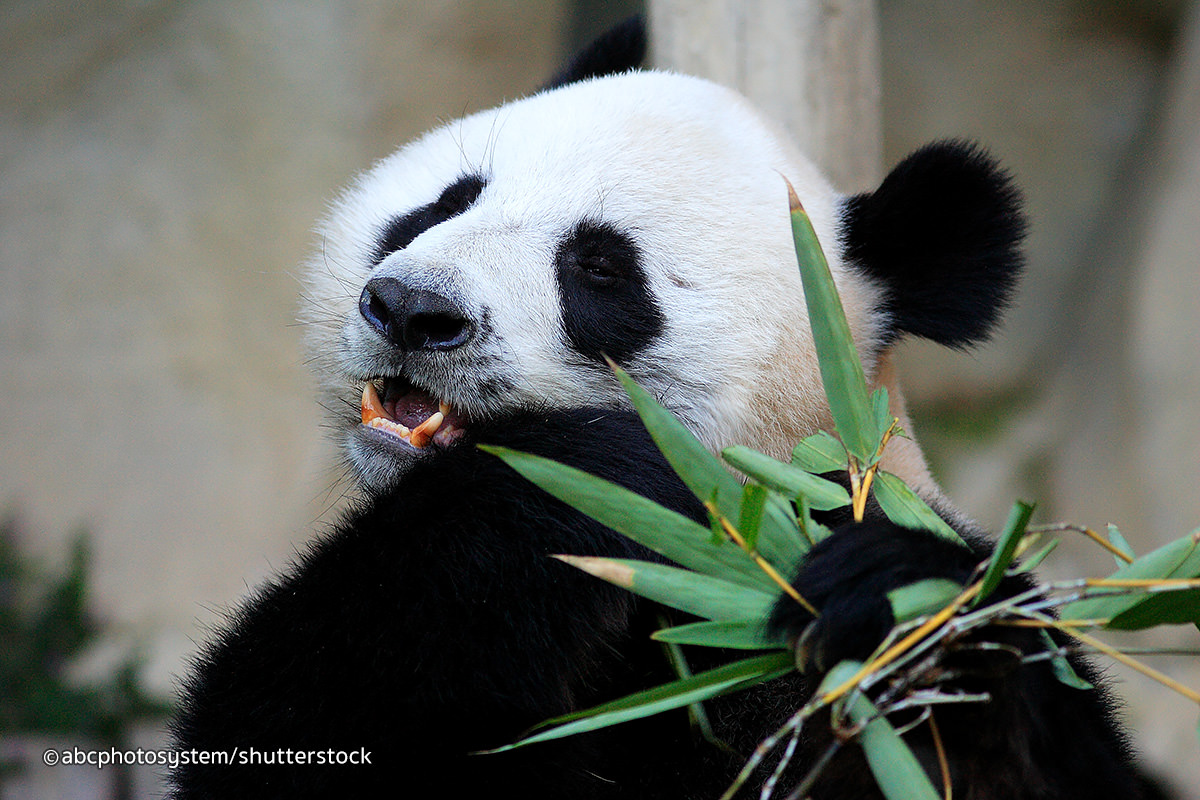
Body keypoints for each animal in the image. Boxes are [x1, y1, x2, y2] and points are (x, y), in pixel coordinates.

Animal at [171, 18, 1152, 800]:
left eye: (601, 269)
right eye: (445, 202)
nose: (413, 308)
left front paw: (901, 603)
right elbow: (296, 716)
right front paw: (574, 471)